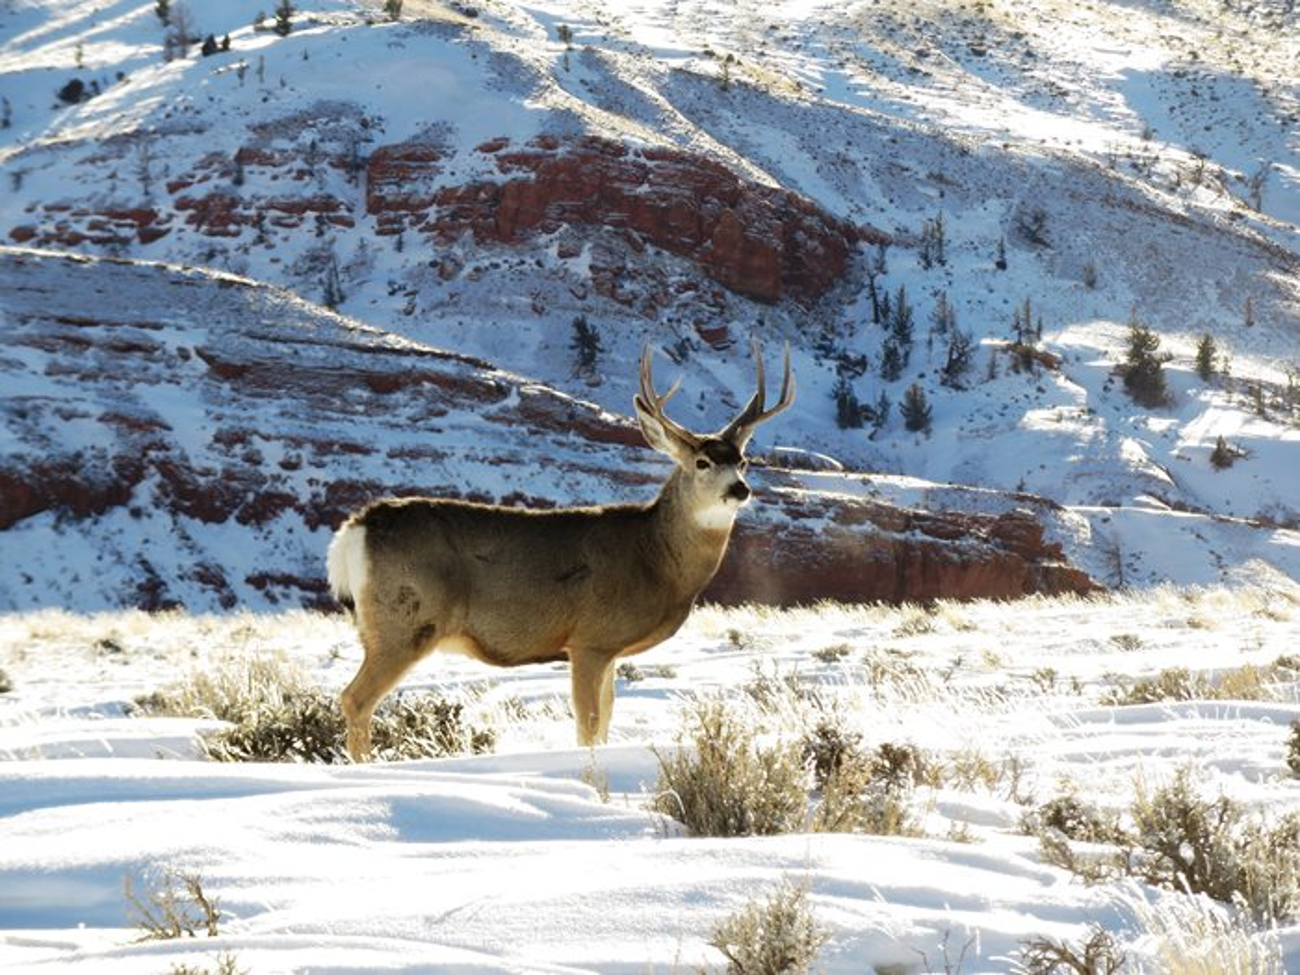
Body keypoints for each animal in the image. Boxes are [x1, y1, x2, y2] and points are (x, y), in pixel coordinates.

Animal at [326, 342, 795, 761]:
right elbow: (587, 727)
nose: (739, 489)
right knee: (355, 699)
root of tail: (356, 527)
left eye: (743, 461)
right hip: (405, 620)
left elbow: (605, 721)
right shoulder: (590, 638)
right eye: (702, 462)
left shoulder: (609, 651)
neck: (655, 558)